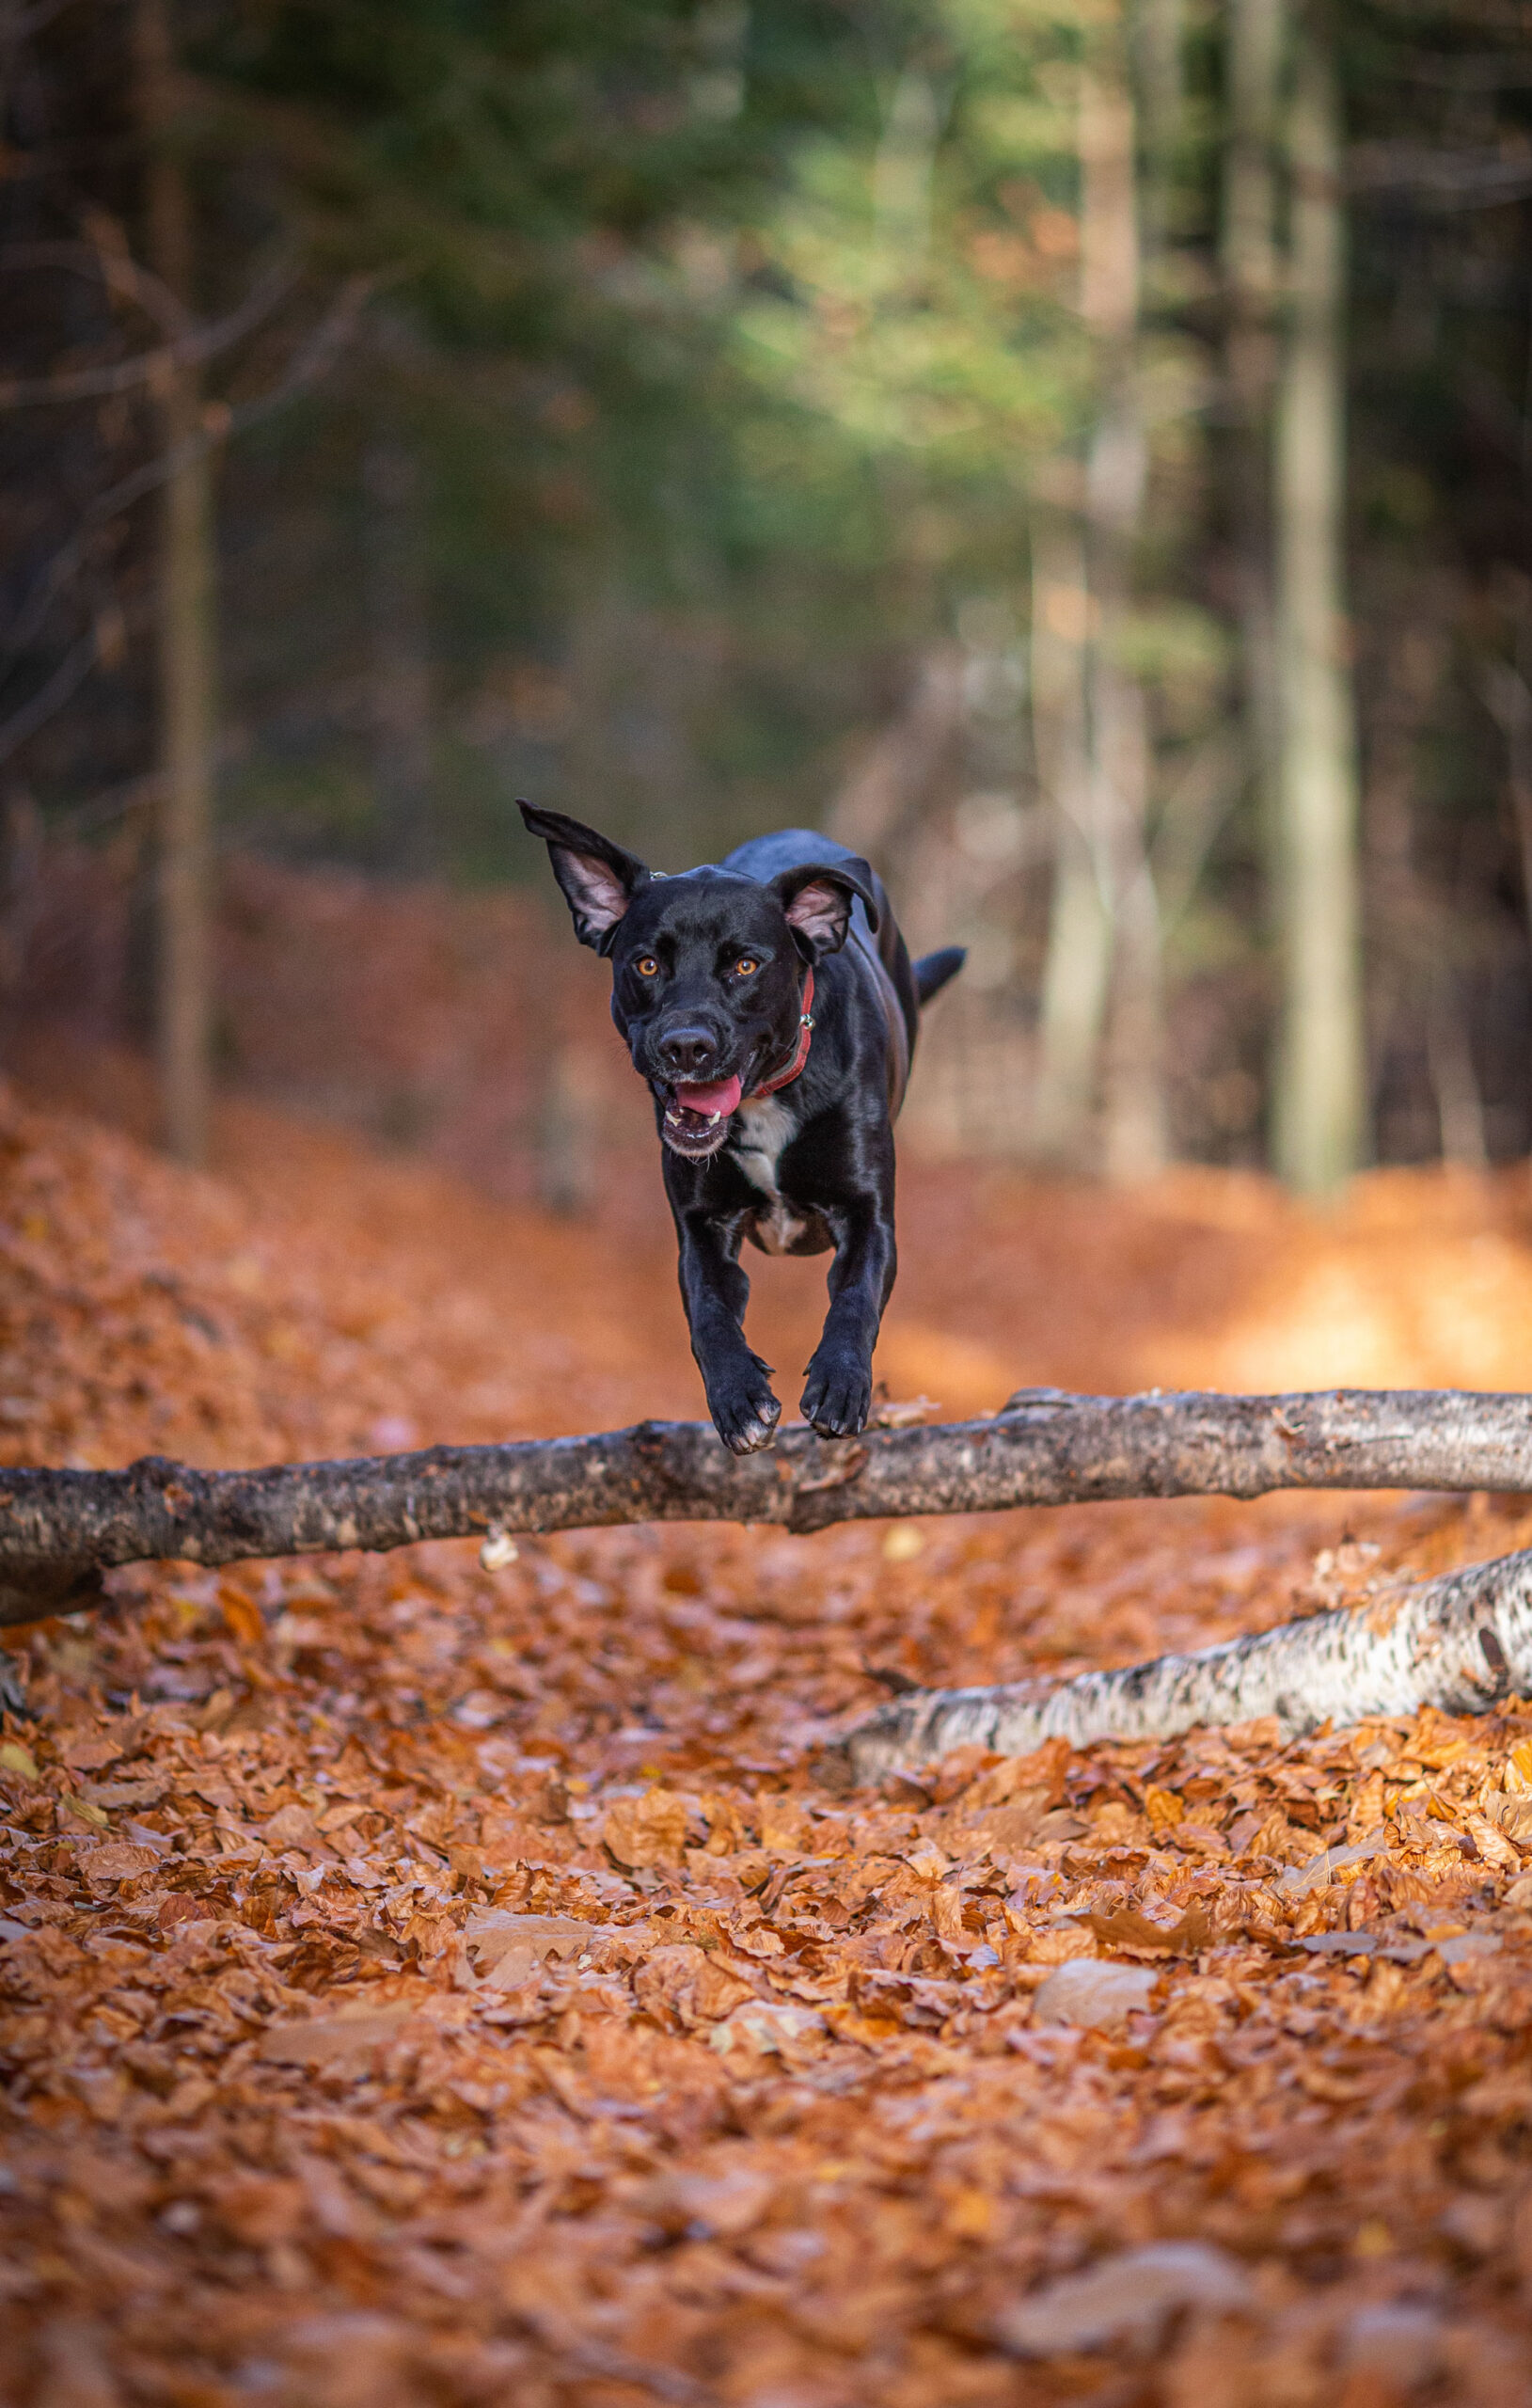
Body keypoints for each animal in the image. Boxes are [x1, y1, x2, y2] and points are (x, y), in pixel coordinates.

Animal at [520, 804, 963, 1445]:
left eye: (746, 965)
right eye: (647, 964)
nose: (686, 1046)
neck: (766, 1098)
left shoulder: (868, 1213)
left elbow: (855, 1297)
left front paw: (840, 1381)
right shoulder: (702, 1225)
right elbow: (708, 1312)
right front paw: (738, 1397)